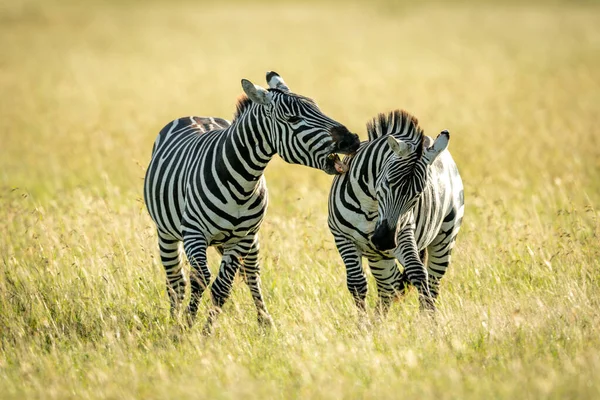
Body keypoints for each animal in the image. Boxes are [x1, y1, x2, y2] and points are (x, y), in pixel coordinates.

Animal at [144, 72, 360, 334]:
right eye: (293, 118)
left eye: (318, 108)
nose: (352, 140)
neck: (242, 180)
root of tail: (197, 116)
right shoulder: (194, 233)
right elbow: (200, 279)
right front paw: (185, 328)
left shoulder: (242, 237)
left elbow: (222, 288)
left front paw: (206, 332)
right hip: (166, 233)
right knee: (176, 282)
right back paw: (174, 320)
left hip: (249, 241)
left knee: (251, 275)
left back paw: (265, 321)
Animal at [328, 109, 464, 316]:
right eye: (388, 183)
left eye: (418, 194)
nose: (384, 240)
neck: (371, 206)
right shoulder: (342, 236)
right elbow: (357, 284)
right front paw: (362, 324)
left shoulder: (403, 232)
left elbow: (418, 273)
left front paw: (429, 321)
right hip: (378, 256)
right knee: (388, 285)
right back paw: (377, 321)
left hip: (445, 237)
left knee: (431, 282)